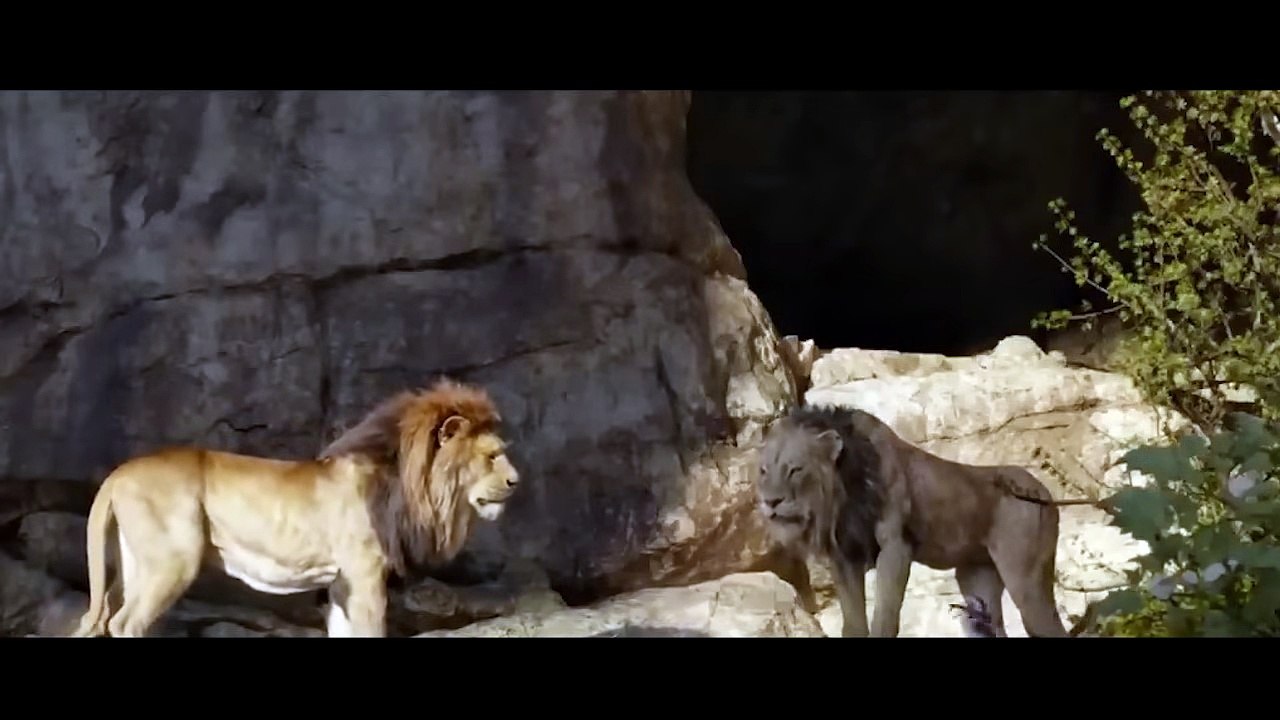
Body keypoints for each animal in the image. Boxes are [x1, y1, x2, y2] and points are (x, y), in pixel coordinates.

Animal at [68, 378, 520, 638]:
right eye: (493, 456)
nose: (517, 481)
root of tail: (118, 474)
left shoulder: (341, 583)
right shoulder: (364, 574)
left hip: (131, 564)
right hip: (171, 561)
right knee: (127, 623)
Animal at [756, 403, 1069, 638]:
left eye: (795, 470)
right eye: (763, 470)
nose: (771, 501)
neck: (846, 488)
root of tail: (1045, 492)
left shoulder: (896, 547)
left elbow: (885, 615)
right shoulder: (845, 556)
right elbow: (853, 621)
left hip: (1026, 579)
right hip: (977, 579)